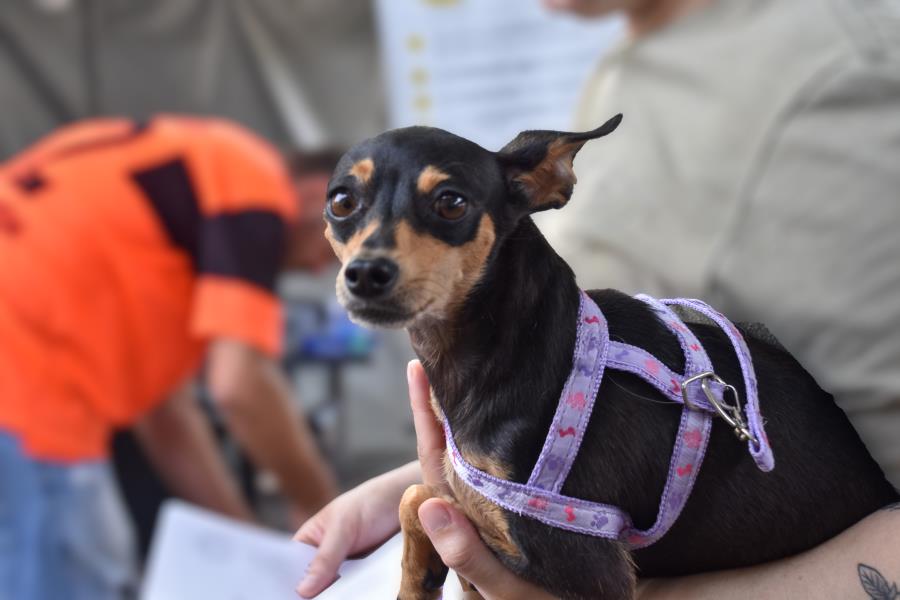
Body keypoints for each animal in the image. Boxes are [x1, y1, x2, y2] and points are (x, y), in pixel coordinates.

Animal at [320, 115, 896, 596]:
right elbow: (417, 497)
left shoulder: (588, 565)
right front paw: (418, 581)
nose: (365, 273)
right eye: (341, 202)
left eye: (451, 203)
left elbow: (436, 502)